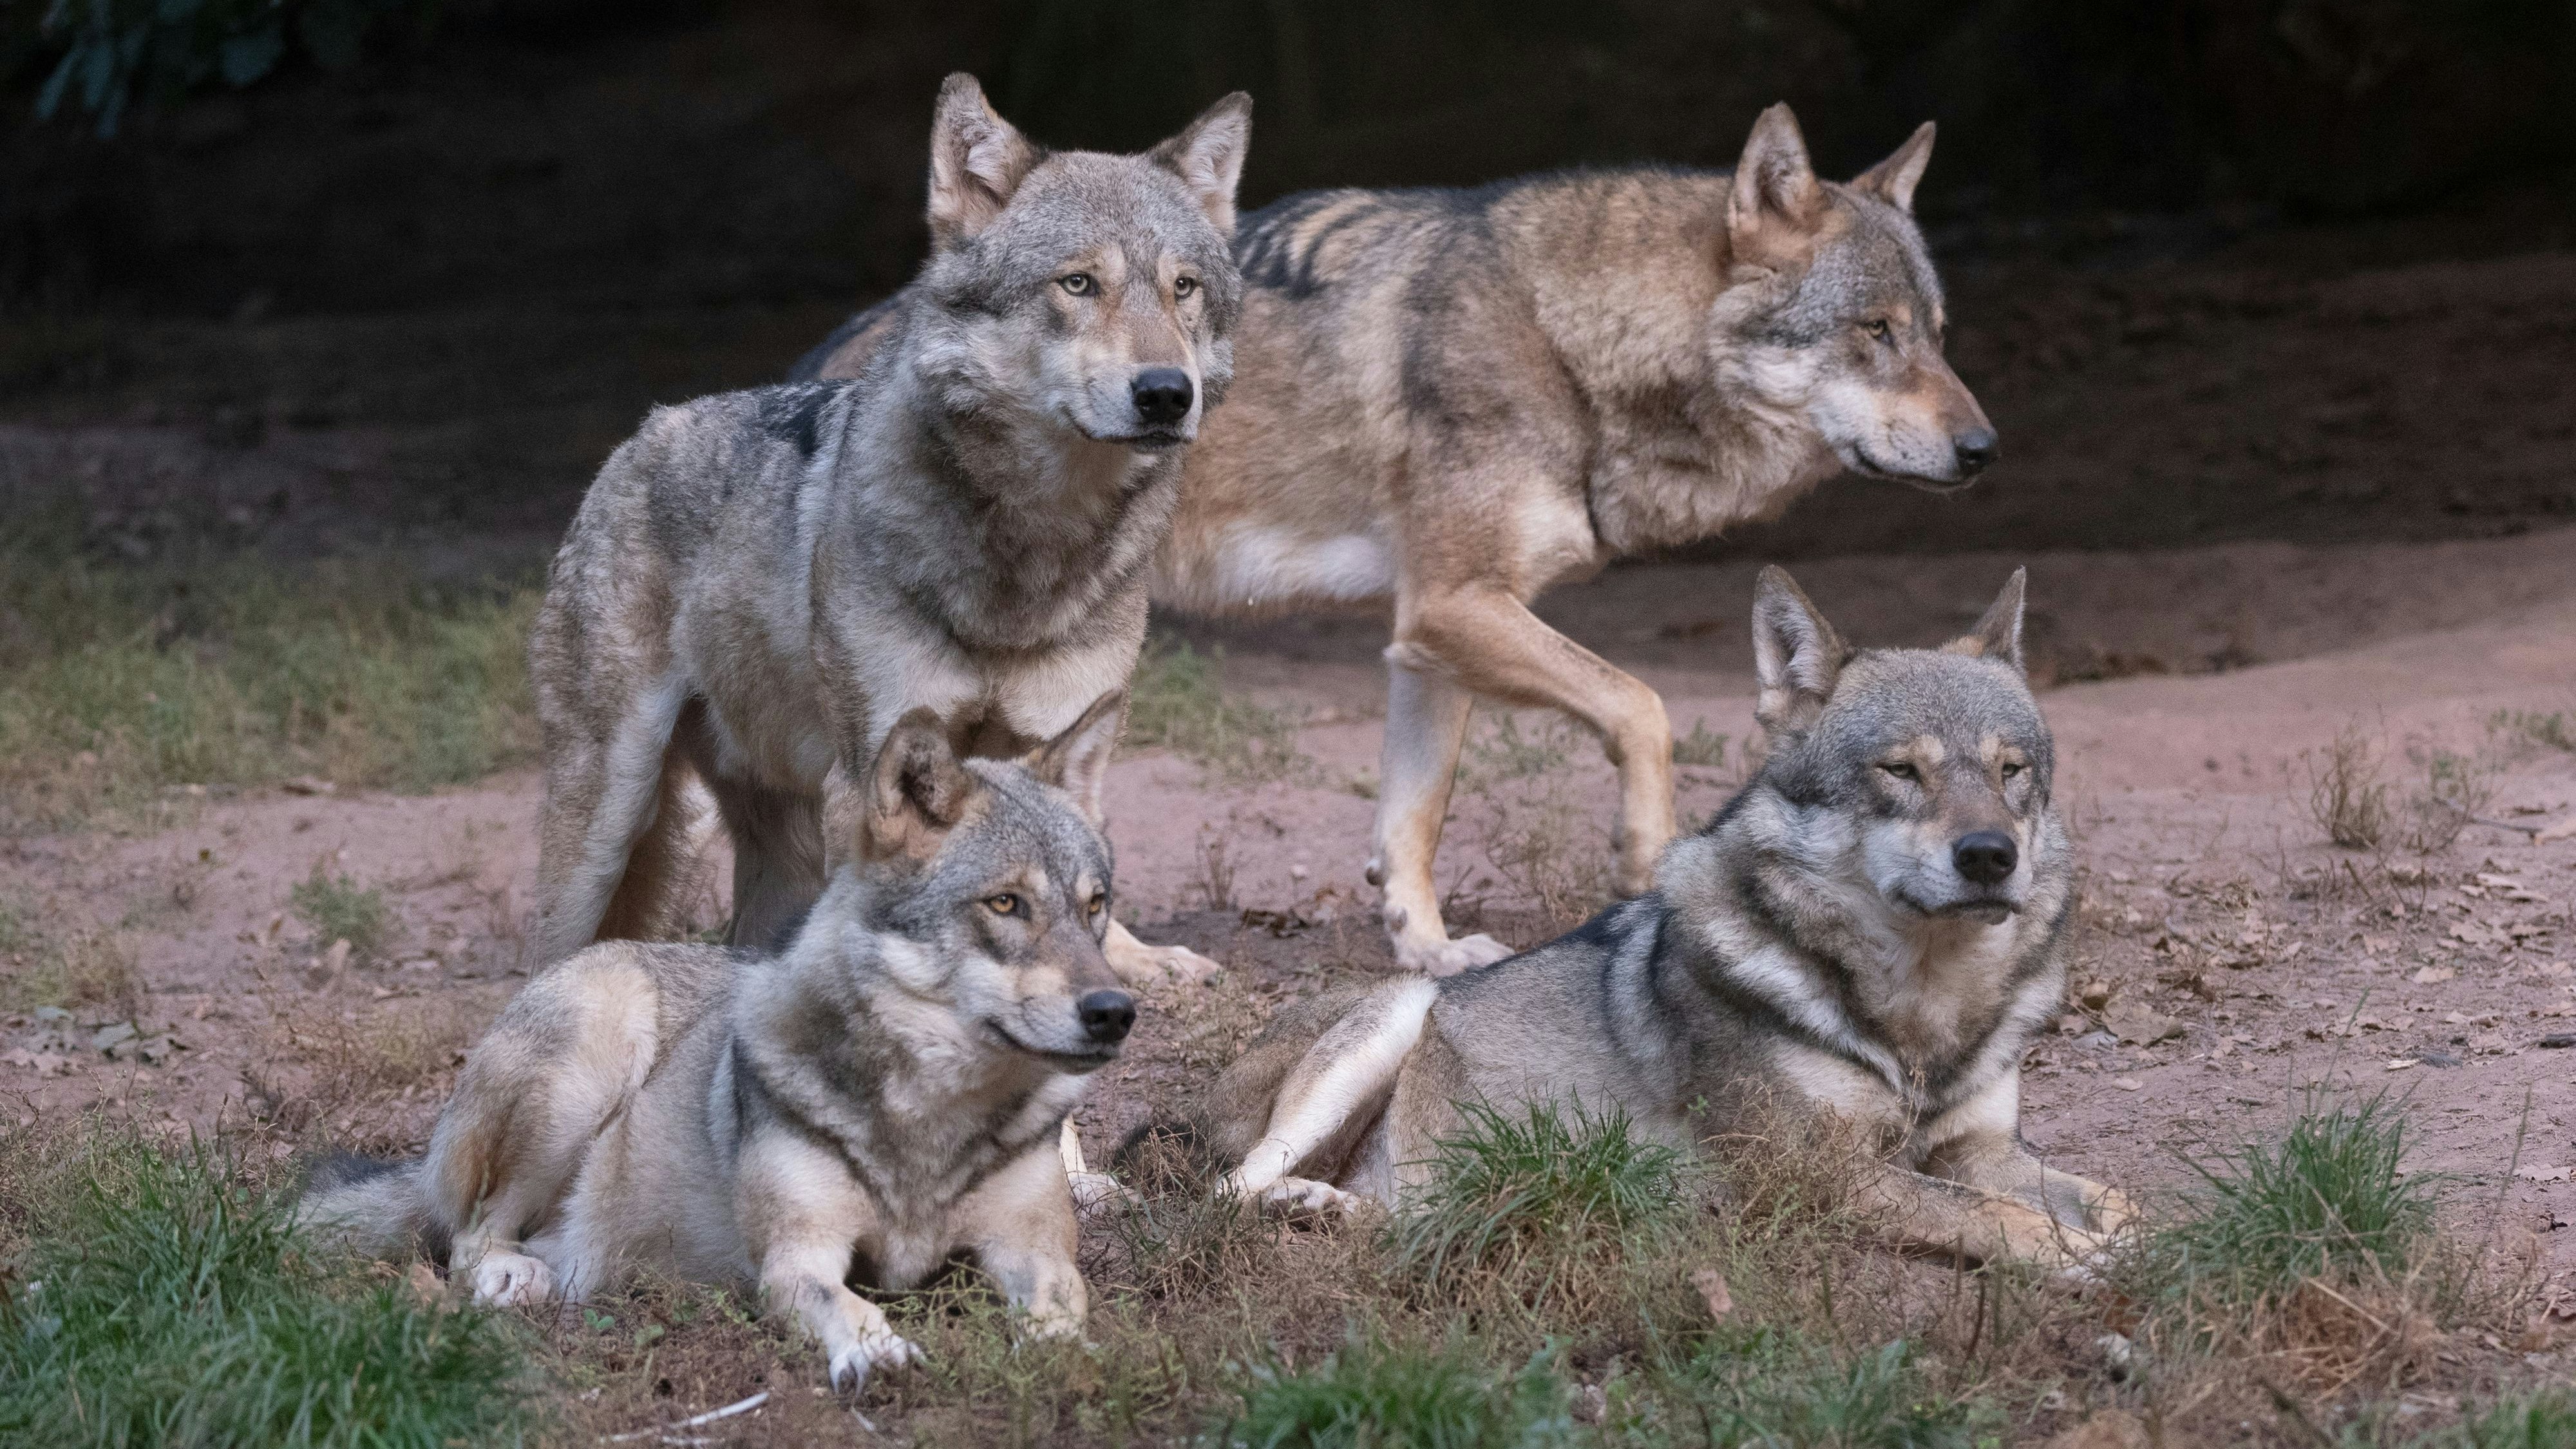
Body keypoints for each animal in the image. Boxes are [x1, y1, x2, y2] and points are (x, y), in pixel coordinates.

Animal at [307, 685, 1133, 1392]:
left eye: (1095, 906)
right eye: (1006, 903)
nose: (1115, 1011)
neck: (930, 1118)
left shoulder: (1035, 1250)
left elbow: (1062, 1309)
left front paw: (1069, 1364)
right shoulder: (797, 1260)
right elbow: (852, 1304)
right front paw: (877, 1353)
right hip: (594, 1047)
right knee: (467, 1239)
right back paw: (510, 1277)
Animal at [523, 73, 1247, 985]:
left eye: (1183, 288)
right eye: (1078, 284)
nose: (1165, 394)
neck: (1031, 542)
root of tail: (636, 439)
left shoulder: (1065, 737)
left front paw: (1131, 959)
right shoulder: (869, 772)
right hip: (610, 815)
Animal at [793, 102, 1999, 969]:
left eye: (1939, 335)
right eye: (1875, 333)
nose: (1984, 449)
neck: (1565, 340)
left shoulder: (1428, 638)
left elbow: (1411, 821)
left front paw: (1425, 950)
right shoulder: (1460, 605)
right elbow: (1644, 708)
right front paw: (1642, 857)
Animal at [1144, 569, 2133, 1268]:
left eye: (2011, 772)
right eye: (1901, 770)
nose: (1989, 855)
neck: (1926, 1014)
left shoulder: (1980, 1148)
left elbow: (2118, 1201)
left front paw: (2130, 1239)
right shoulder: (1821, 1176)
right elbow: (1996, 1216)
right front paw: (2082, 1256)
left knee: (1399, 1219)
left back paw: (1330, 1209)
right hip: (1402, 1006)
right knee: (1226, 1193)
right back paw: (1283, 1203)